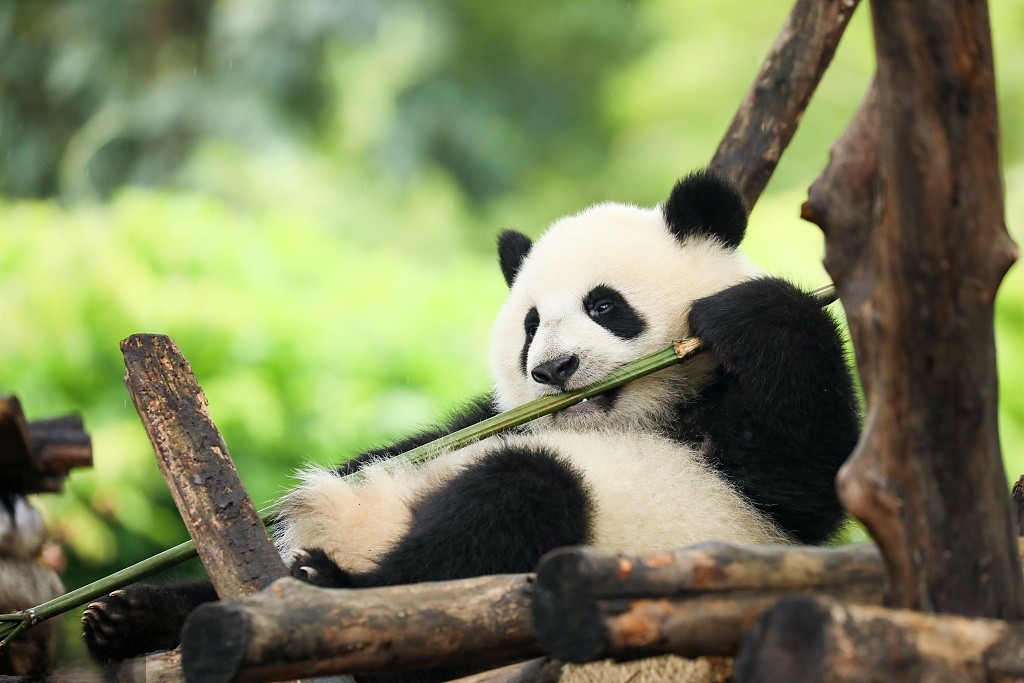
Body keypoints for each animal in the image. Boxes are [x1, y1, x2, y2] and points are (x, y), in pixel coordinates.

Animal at [82, 169, 861, 662]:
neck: (631, 414)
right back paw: (132, 614)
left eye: (605, 305)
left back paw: (332, 587)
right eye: (530, 324)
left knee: (510, 506)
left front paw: (756, 309)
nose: (553, 370)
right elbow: (430, 436)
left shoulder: (746, 477)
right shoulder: (479, 419)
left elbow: (807, 474)